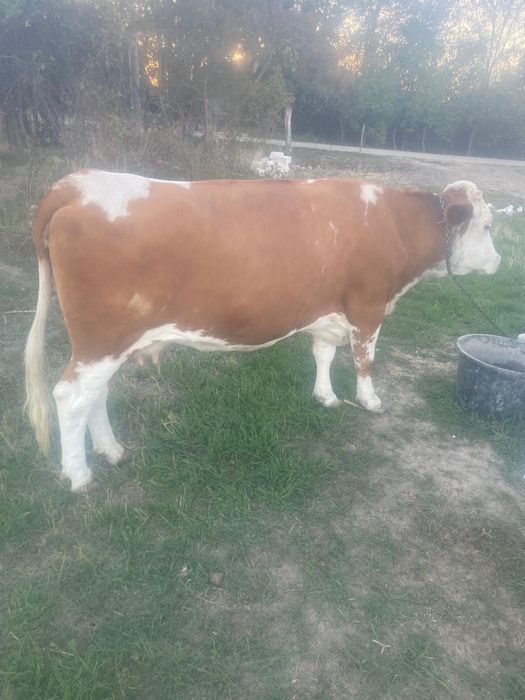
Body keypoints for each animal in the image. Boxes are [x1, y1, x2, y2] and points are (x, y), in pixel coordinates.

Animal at [24, 171, 500, 491]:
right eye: (487, 226)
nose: (499, 262)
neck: (393, 222)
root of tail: (79, 183)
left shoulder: (327, 310)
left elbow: (323, 353)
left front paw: (325, 396)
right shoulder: (368, 307)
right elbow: (365, 359)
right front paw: (370, 401)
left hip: (106, 346)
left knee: (95, 395)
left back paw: (112, 450)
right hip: (100, 339)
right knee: (71, 397)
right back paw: (79, 474)